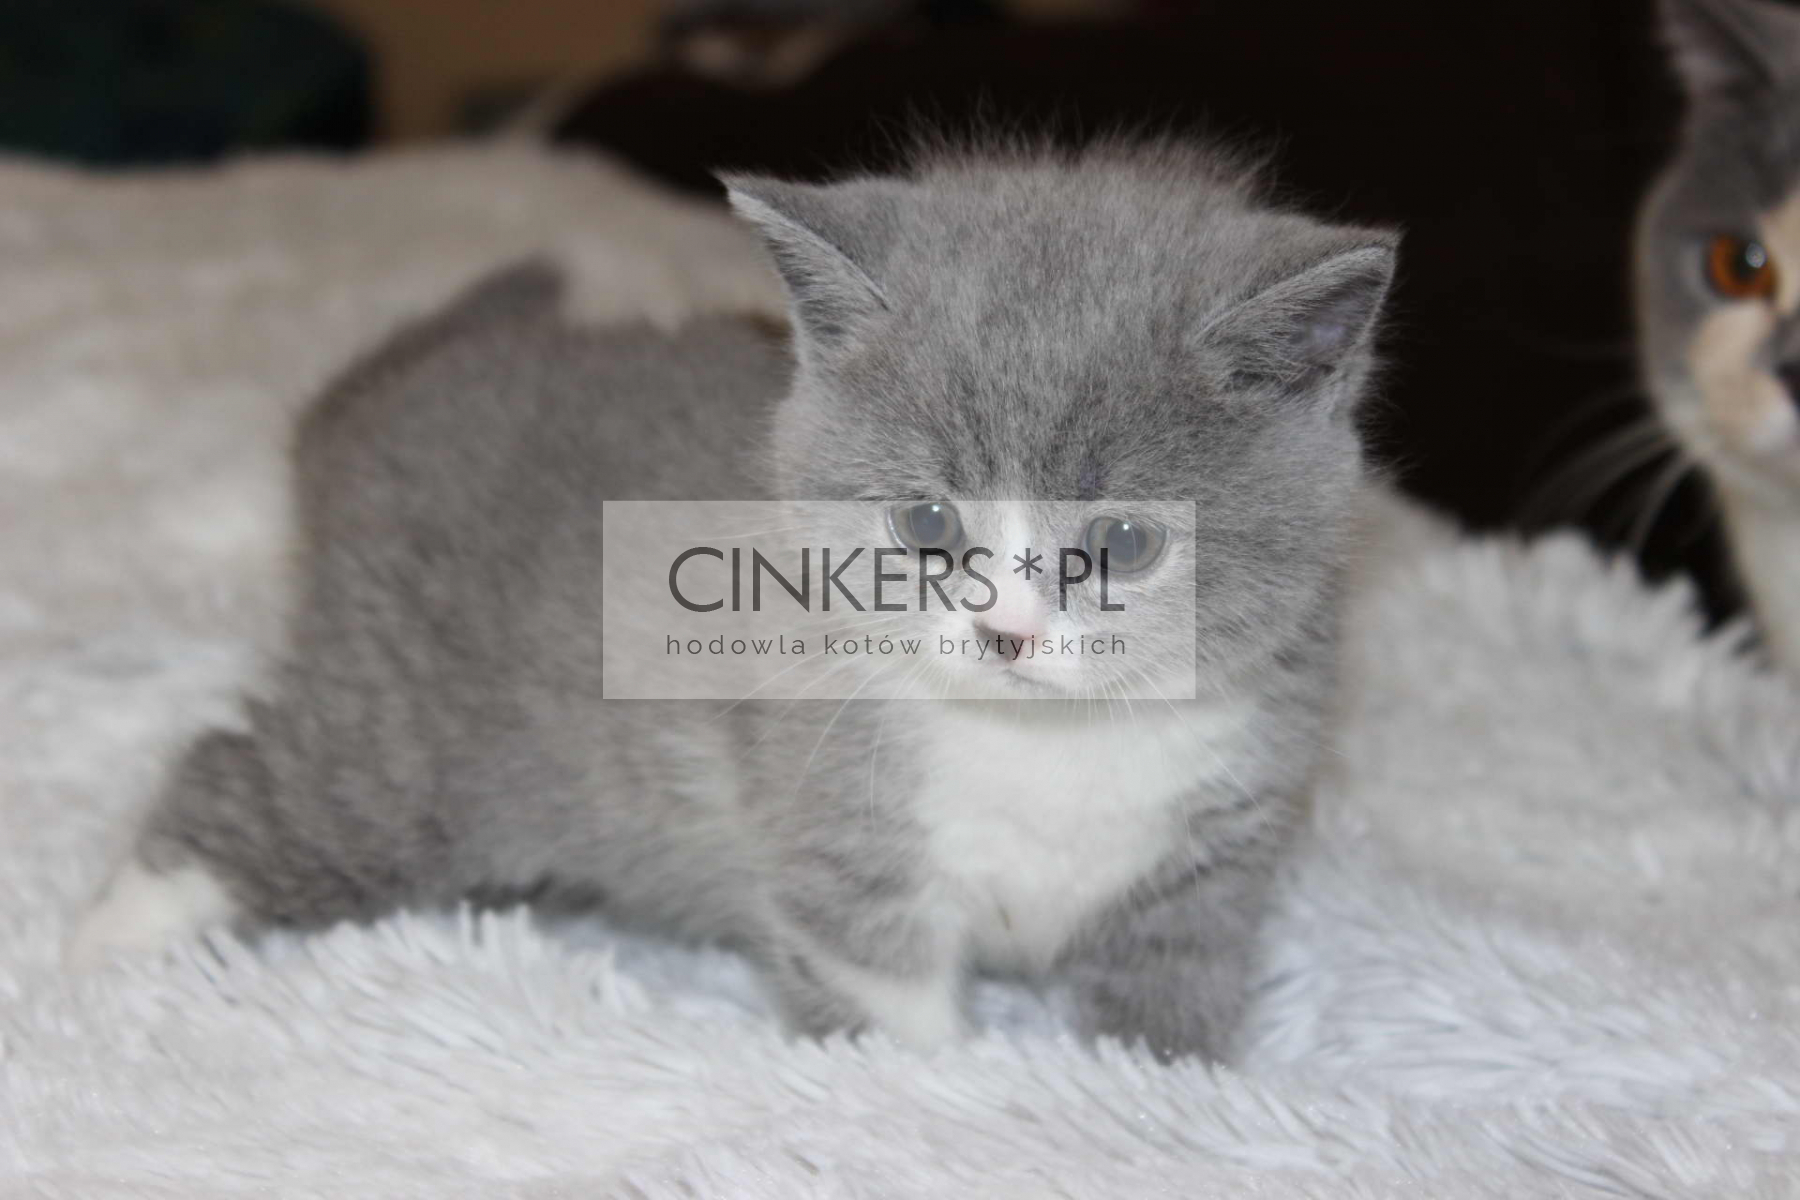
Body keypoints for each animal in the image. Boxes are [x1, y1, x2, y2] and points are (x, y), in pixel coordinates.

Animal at [70, 139, 1397, 1062]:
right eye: (926, 525)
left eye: (1121, 543)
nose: (1005, 631)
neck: (1050, 746)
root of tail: (383, 411)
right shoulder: (834, 821)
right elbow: (885, 998)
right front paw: (942, 1099)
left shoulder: (1218, 853)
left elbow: (1171, 1003)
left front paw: (1164, 1093)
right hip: (407, 741)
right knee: (252, 780)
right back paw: (104, 951)